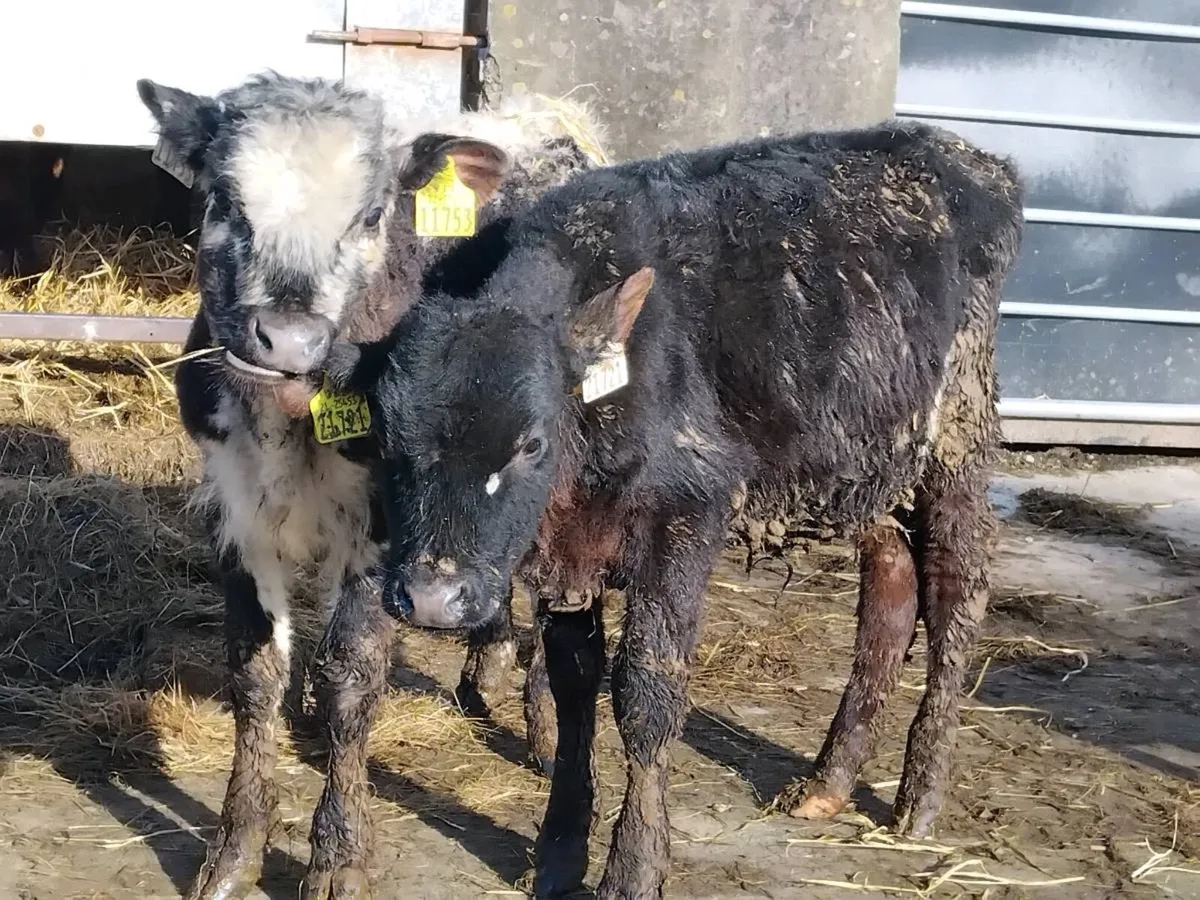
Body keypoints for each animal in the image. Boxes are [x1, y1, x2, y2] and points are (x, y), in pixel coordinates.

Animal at [134, 71, 600, 900]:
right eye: (223, 199)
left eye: (373, 214)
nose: (291, 340)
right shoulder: (234, 509)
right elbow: (255, 674)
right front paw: (234, 850)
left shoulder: (385, 523)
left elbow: (351, 673)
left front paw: (338, 857)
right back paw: (482, 669)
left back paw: (543, 728)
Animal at [328, 120, 1024, 897]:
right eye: (387, 437)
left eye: (531, 441)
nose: (431, 597)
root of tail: (962, 155)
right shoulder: (573, 549)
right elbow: (575, 686)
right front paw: (561, 852)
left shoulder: (688, 514)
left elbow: (646, 694)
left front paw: (633, 867)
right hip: (861, 464)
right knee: (891, 590)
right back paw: (827, 783)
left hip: (957, 435)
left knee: (956, 593)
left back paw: (921, 795)